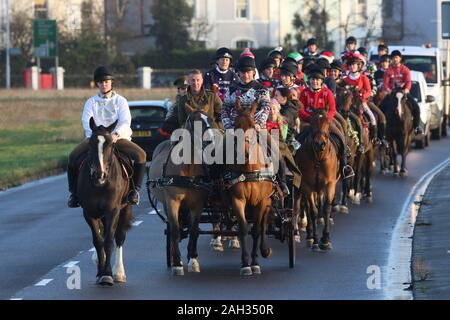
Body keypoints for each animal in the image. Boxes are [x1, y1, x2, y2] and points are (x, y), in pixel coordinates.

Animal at [78, 119, 132, 286]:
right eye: (90, 144)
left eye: (110, 145)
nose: (99, 174)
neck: (101, 185)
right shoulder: (89, 212)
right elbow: (98, 241)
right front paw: (100, 272)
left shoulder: (113, 211)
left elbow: (109, 240)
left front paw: (107, 274)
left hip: (126, 208)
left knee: (119, 236)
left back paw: (119, 272)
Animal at [224, 102, 276, 276]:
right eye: (235, 125)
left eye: (253, 125)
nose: (244, 152)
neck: (250, 169)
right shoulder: (237, 200)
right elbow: (243, 228)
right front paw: (245, 263)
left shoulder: (262, 201)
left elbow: (257, 230)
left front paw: (255, 262)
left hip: (268, 201)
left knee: (264, 222)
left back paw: (265, 250)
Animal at [296, 109, 338, 251]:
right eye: (312, 122)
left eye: (327, 122)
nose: (320, 144)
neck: (319, 159)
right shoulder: (307, 186)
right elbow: (313, 211)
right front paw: (315, 240)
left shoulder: (330, 184)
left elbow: (326, 208)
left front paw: (325, 239)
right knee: (306, 206)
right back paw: (309, 235)